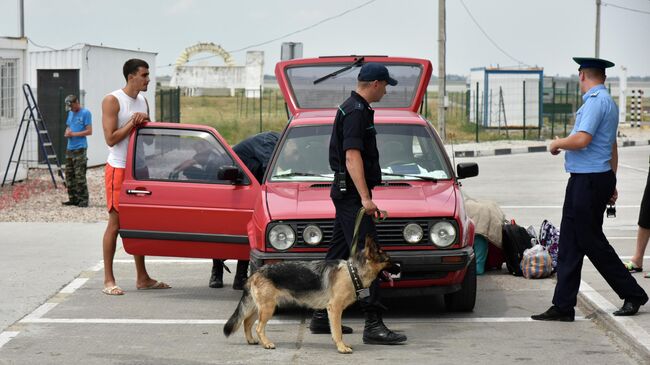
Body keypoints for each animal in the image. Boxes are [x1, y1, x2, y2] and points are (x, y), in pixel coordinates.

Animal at [223, 233, 394, 352]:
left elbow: (336, 331)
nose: (399, 266)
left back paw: (251, 340)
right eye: (388, 260)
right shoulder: (335, 309)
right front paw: (341, 347)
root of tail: (256, 273)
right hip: (267, 308)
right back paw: (267, 344)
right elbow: (338, 331)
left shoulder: (334, 311)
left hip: (258, 307)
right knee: (258, 327)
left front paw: (341, 345)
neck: (353, 272)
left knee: (246, 322)